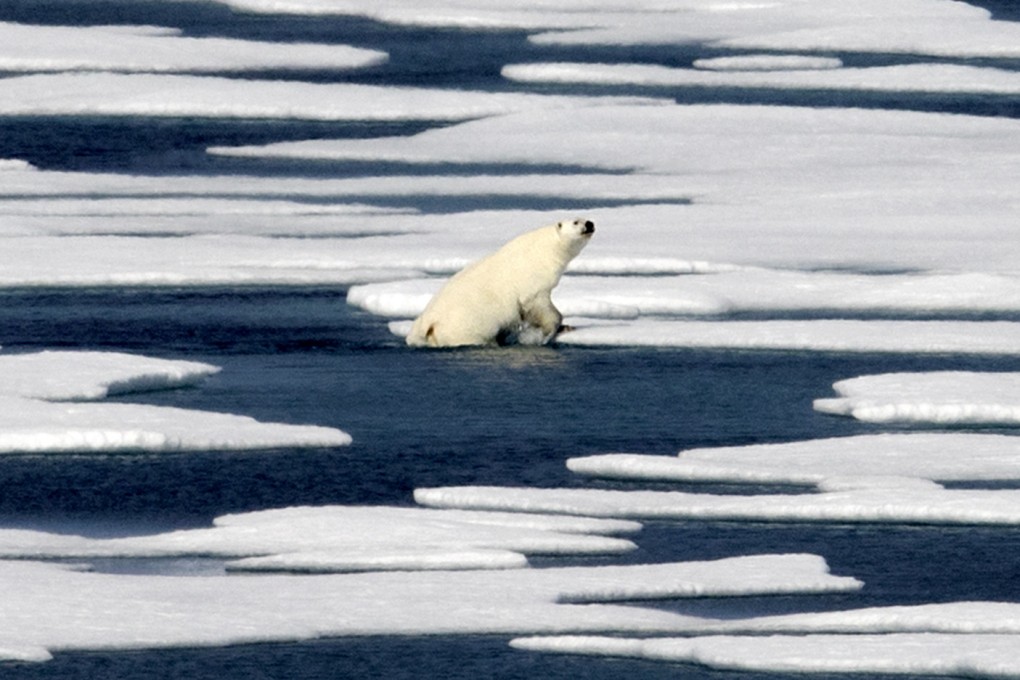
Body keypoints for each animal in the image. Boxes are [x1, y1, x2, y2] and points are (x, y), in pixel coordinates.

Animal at [405, 218, 595, 348]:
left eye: (584, 218)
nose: (589, 223)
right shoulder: (531, 281)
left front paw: (566, 327)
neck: (544, 248)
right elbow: (540, 307)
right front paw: (550, 331)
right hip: (463, 326)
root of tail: (426, 322)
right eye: (576, 221)